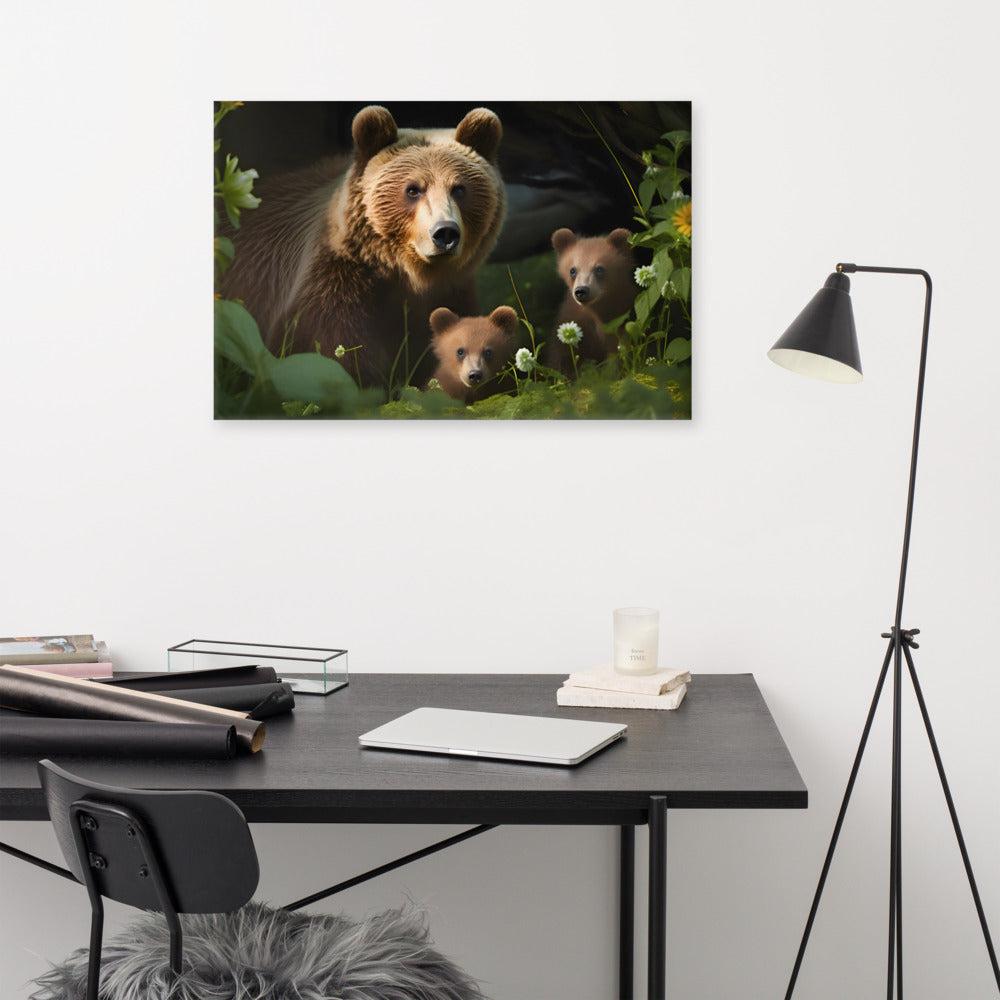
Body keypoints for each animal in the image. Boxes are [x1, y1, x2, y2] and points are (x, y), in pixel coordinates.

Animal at [222, 105, 506, 389]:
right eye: (413, 189)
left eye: (459, 188)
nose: (445, 232)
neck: (406, 276)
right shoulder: (335, 286)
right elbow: (330, 351)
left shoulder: (450, 293)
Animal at [543, 227, 635, 374]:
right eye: (572, 270)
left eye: (599, 268)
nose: (581, 290)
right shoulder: (574, 319)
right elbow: (562, 356)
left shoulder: (620, 319)